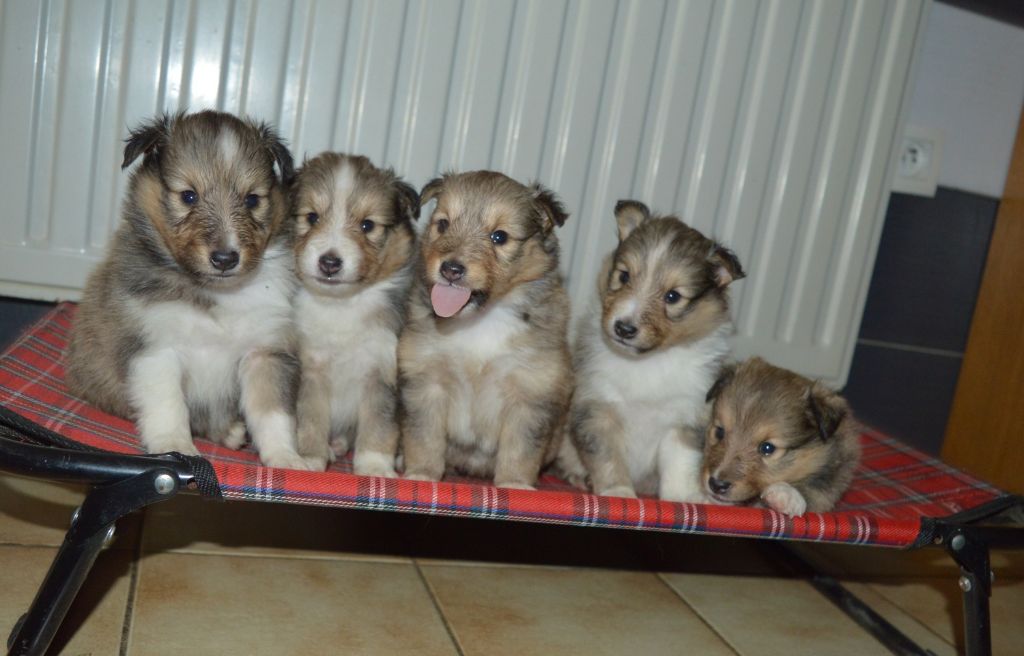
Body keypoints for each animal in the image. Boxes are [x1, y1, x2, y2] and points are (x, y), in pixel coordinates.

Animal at [67, 113, 311, 470]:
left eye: (252, 200)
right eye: (188, 196)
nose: (225, 258)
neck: (217, 292)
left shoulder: (264, 352)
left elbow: (273, 413)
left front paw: (285, 458)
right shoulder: (156, 347)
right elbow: (168, 405)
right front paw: (176, 446)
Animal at [290, 152, 417, 470]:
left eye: (367, 225)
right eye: (312, 218)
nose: (329, 262)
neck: (341, 305)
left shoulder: (382, 371)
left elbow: (378, 426)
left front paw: (374, 467)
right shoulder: (311, 368)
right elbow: (310, 419)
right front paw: (310, 459)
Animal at [399, 171, 577, 489]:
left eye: (499, 237)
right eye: (442, 224)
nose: (450, 269)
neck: (480, 319)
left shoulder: (529, 393)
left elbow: (520, 450)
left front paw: (515, 486)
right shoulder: (425, 381)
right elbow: (424, 438)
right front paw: (421, 475)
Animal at [569, 198, 745, 495]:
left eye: (673, 296)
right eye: (624, 276)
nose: (624, 328)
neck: (646, 362)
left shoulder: (684, 418)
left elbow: (680, 465)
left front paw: (683, 498)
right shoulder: (597, 408)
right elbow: (608, 459)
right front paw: (618, 493)